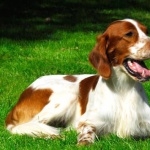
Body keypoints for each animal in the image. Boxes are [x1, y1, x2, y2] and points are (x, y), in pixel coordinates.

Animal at [5, 18, 150, 144]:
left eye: (146, 31)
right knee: (27, 125)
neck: (124, 89)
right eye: (129, 34)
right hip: (67, 96)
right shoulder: (89, 121)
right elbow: (86, 135)